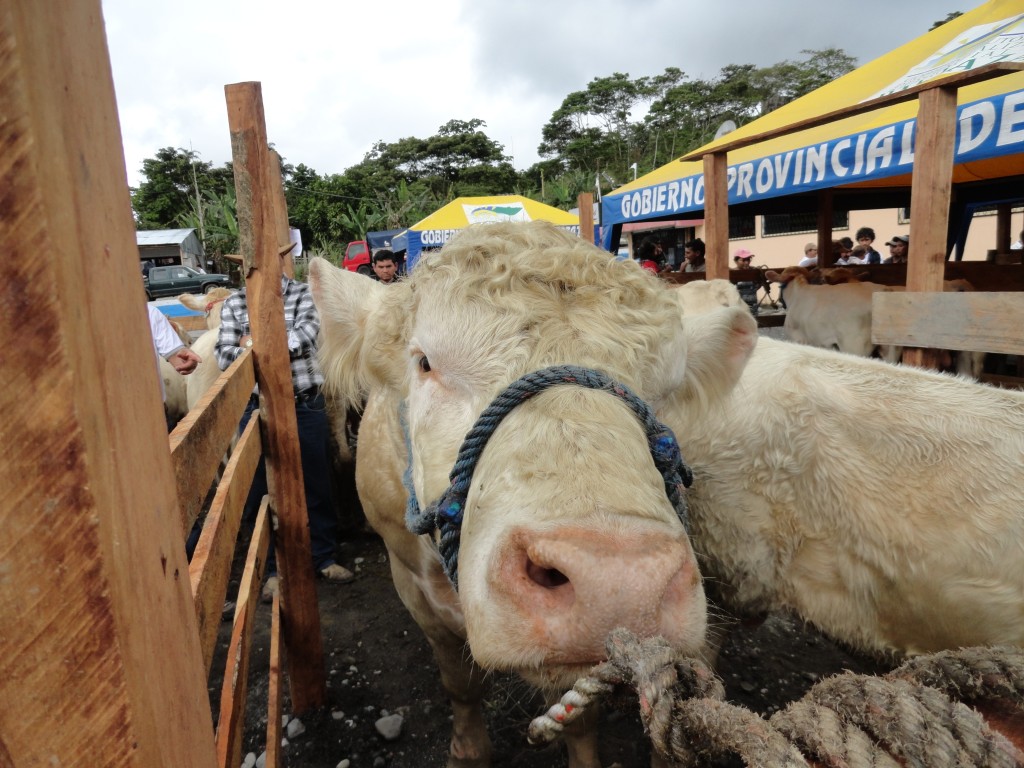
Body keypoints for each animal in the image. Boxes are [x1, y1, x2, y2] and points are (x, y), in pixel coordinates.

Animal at [309, 222, 1024, 768]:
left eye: (665, 386)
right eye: (424, 362)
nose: (617, 581)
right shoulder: (412, 586)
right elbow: (459, 684)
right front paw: (467, 748)